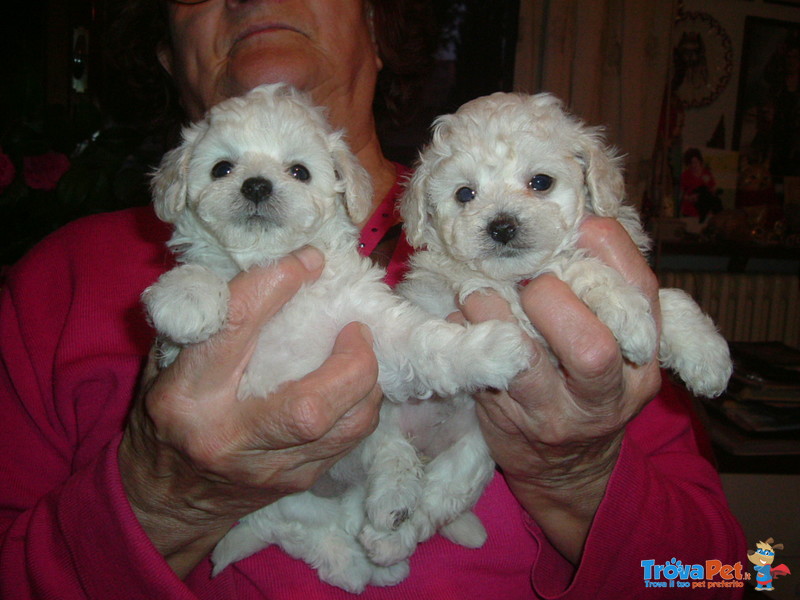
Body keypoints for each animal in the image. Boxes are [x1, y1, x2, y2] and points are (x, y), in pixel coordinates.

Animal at [144, 82, 532, 592]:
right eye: (222, 168)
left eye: (299, 171)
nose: (256, 185)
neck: (270, 264)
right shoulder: (173, 354)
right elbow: (201, 277)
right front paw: (188, 295)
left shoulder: (371, 328)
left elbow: (428, 344)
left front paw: (490, 350)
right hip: (273, 500)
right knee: (302, 532)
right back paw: (358, 565)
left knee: (369, 489)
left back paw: (387, 529)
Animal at [400, 92, 732, 398]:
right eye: (464, 194)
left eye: (541, 182)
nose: (502, 227)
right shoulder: (472, 284)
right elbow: (570, 265)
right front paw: (630, 315)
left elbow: (670, 297)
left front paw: (705, 352)